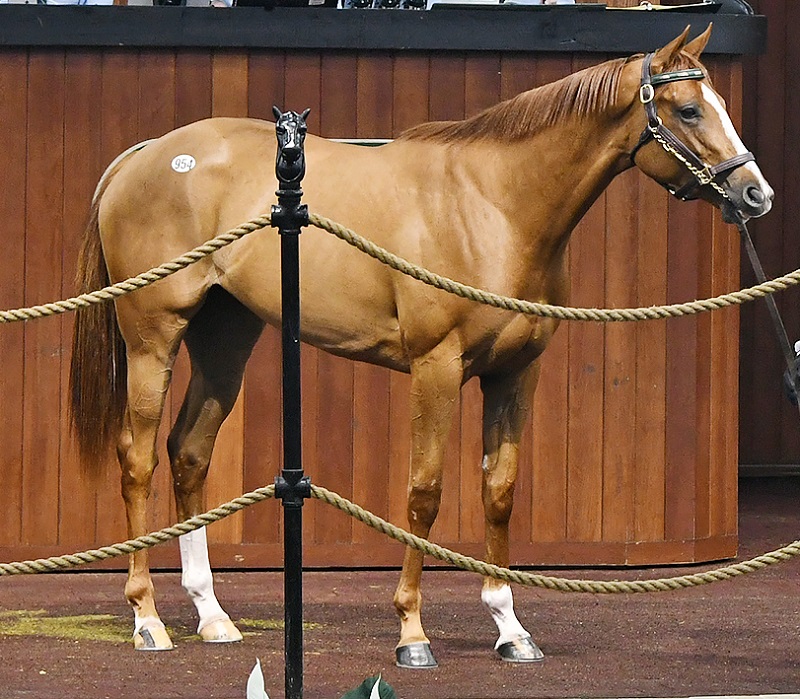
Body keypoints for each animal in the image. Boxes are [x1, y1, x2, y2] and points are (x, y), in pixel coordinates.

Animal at [72, 27, 772, 668]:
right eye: (689, 110)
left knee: (189, 452)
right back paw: (147, 618)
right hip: (153, 338)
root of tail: (146, 155)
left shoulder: (516, 373)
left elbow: (499, 491)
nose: (755, 194)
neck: (494, 206)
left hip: (225, 336)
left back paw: (211, 614)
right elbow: (425, 492)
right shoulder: (437, 367)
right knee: (138, 459)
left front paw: (510, 628)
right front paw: (411, 632)